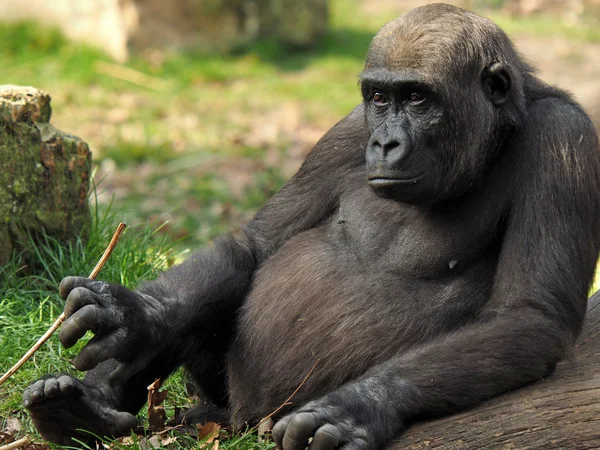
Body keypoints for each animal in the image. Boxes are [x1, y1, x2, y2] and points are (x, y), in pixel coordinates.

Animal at [21, 3, 600, 450]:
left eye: (418, 98)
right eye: (380, 98)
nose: (384, 143)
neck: (499, 127)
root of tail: (237, 420)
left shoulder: (564, 141)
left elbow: (529, 315)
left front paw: (357, 407)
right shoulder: (348, 129)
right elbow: (256, 246)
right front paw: (136, 314)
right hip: (217, 396)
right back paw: (87, 406)